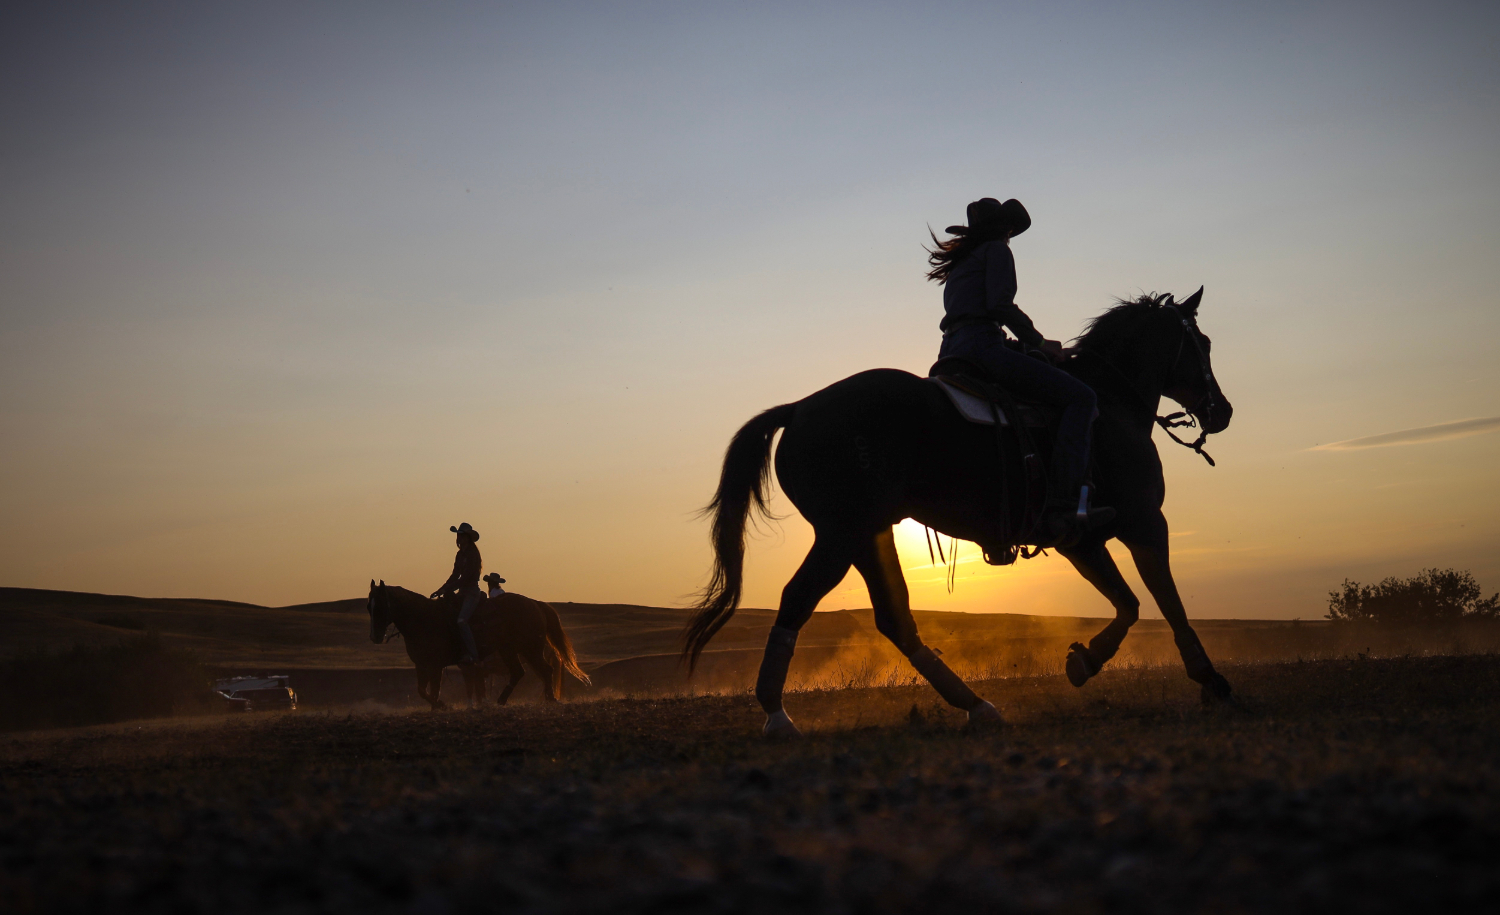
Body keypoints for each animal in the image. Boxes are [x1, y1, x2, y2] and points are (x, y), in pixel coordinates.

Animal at [366, 576, 588, 705]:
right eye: (369, 606)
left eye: (381, 606)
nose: (375, 637)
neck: (424, 619)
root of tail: (535, 603)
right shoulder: (422, 665)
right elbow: (423, 691)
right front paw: (439, 706)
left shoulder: (437, 665)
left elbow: (436, 690)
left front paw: (442, 706)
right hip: (510, 650)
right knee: (520, 672)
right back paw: (502, 700)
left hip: (531, 649)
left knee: (545, 671)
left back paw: (550, 699)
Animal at [687, 288, 1236, 738]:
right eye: (1203, 342)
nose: (1222, 411)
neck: (1110, 403)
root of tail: (799, 407)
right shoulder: (1145, 522)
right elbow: (1165, 601)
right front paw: (1210, 680)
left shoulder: (1080, 539)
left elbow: (1128, 603)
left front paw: (1086, 661)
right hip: (842, 534)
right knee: (800, 600)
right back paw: (777, 716)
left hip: (868, 535)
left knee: (894, 619)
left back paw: (976, 706)